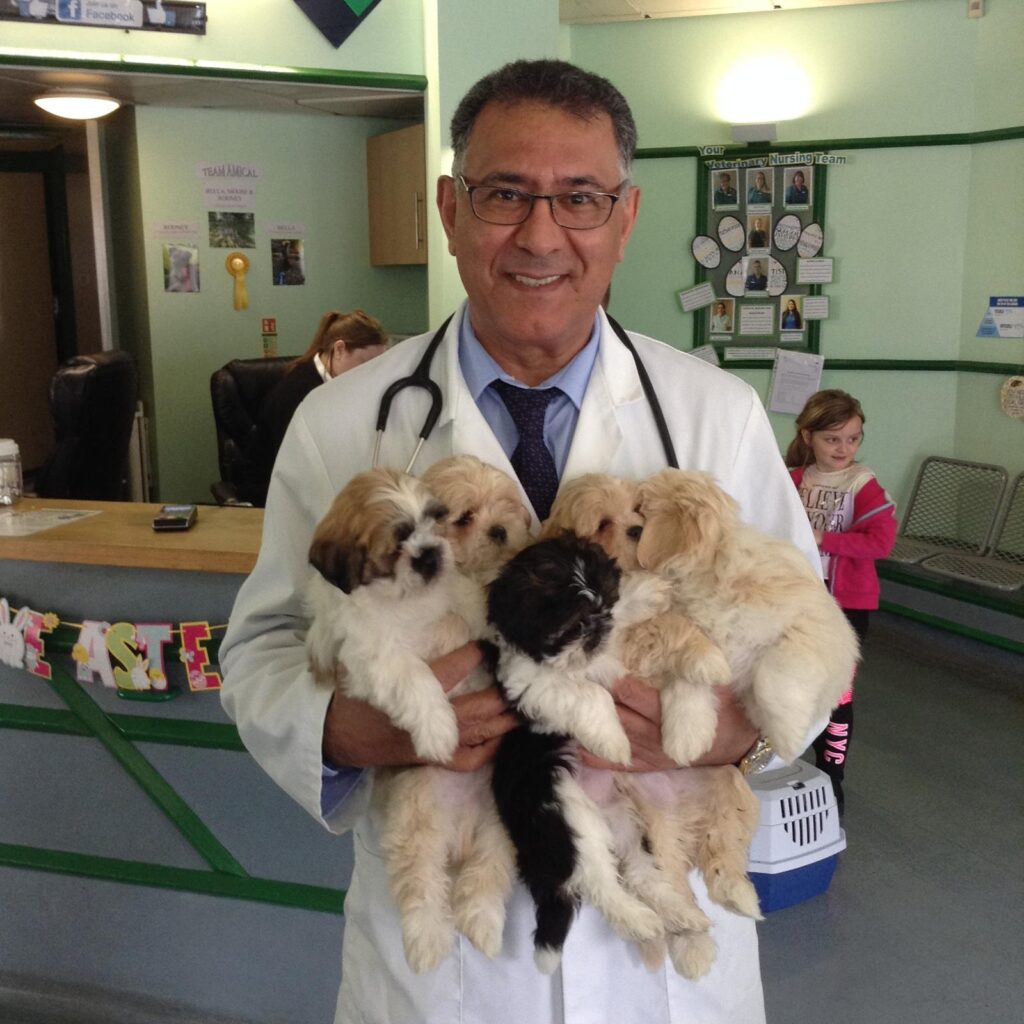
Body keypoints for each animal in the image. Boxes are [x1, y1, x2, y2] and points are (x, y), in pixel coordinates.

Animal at [489, 536, 671, 974]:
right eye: (573, 624)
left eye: (603, 605)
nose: (597, 633)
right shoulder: (532, 685)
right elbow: (589, 694)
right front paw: (614, 740)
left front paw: (645, 593)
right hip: (564, 811)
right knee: (597, 878)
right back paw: (637, 918)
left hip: (622, 813)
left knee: (637, 864)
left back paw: (677, 908)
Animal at [544, 475, 761, 978]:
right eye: (603, 523)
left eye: (638, 509)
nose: (638, 530)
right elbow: (664, 627)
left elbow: (680, 630)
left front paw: (704, 672)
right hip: (642, 819)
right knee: (668, 873)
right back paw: (688, 933)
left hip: (723, 783)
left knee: (722, 846)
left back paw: (730, 900)